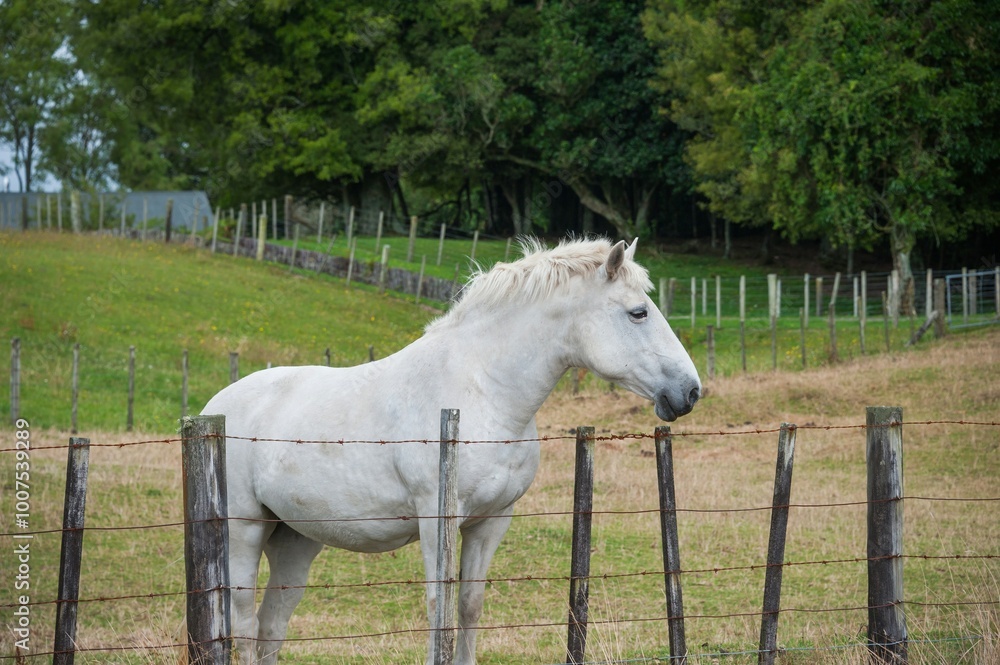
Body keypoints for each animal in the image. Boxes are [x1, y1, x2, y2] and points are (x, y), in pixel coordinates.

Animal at [201, 237, 701, 665]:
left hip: (295, 540)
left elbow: (468, 605)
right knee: (244, 624)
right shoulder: (436, 518)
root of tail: (212, 410)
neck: (484, 391)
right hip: (245, 531)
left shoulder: (491, 521)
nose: (690, 391)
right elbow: (437, 607)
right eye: (638, 313)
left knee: (270, 626)